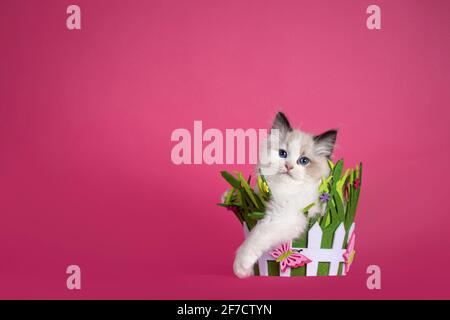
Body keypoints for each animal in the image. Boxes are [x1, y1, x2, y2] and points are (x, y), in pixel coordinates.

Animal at [234, 112, 336, 278]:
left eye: (303, 161)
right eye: (282, 154)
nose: (288, 166)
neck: (283, 187)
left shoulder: (286, 217)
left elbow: (257, 235)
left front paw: (241, 266)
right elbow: (249, 191)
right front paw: (231, 196)